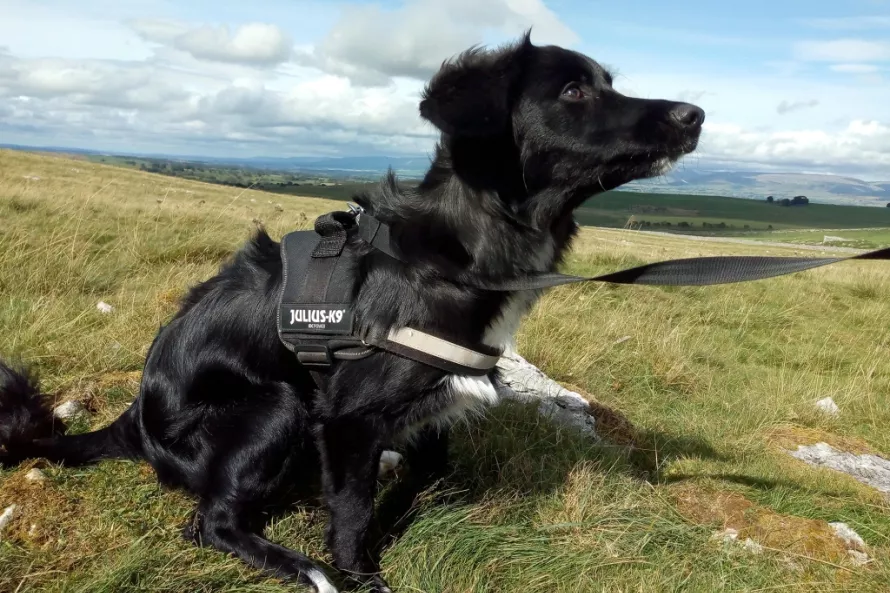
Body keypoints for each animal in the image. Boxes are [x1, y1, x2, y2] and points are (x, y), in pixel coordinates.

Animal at [1, 34, 700, 588]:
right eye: (575, 91)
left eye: (609, 82)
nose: (695, 114)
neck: (460, 252)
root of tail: (135, 421)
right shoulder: (346, 419)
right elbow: (353, 517)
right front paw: (359, 574)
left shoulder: (433, 406)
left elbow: (421, 473)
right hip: (275, 405)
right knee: (212, 524)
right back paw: (304, 568)